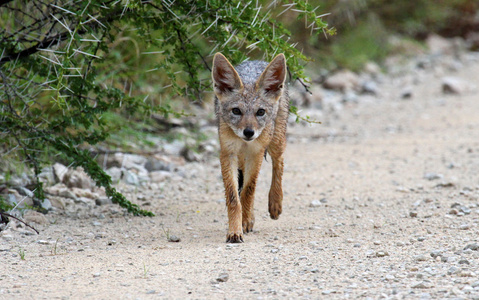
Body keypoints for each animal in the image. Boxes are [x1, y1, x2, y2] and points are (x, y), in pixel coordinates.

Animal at [211, 52, 288, 243]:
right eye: (236, 111)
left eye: (260, 112)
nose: (248, 132)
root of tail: (255, 61)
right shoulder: (228, 153)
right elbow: (234, 196)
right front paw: (235, 230)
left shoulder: (256, 153)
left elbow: (248, 190)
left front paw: (245, 221)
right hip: (241, 158)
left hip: (275, 143)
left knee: (279, 163)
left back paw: (275, 203)